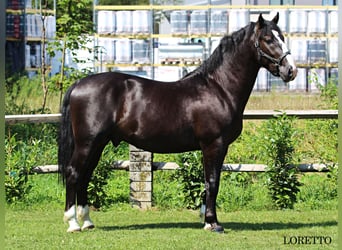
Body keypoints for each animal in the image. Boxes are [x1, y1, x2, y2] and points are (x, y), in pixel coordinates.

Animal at [58, 13, 296, 232]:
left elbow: (209, 182)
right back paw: (73, 223)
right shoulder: (214, 145)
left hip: (97, 144)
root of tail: (78, 84)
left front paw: (207, 220)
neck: (219, 88)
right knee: (73, 174)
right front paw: (213, 223)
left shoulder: (214, 147)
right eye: (268, 39)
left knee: (85, 176)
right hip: (88, 143)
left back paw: (87, 222)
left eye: (282, 36)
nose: (291, 70)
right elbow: (213, 182)